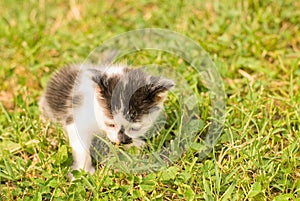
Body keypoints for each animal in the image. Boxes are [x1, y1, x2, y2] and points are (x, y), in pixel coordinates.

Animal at [39, 63, 175, 175]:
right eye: (111, 125)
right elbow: (81, 147)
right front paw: (83, 172)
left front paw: (135, 144)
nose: (123, 141)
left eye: (135, 128)